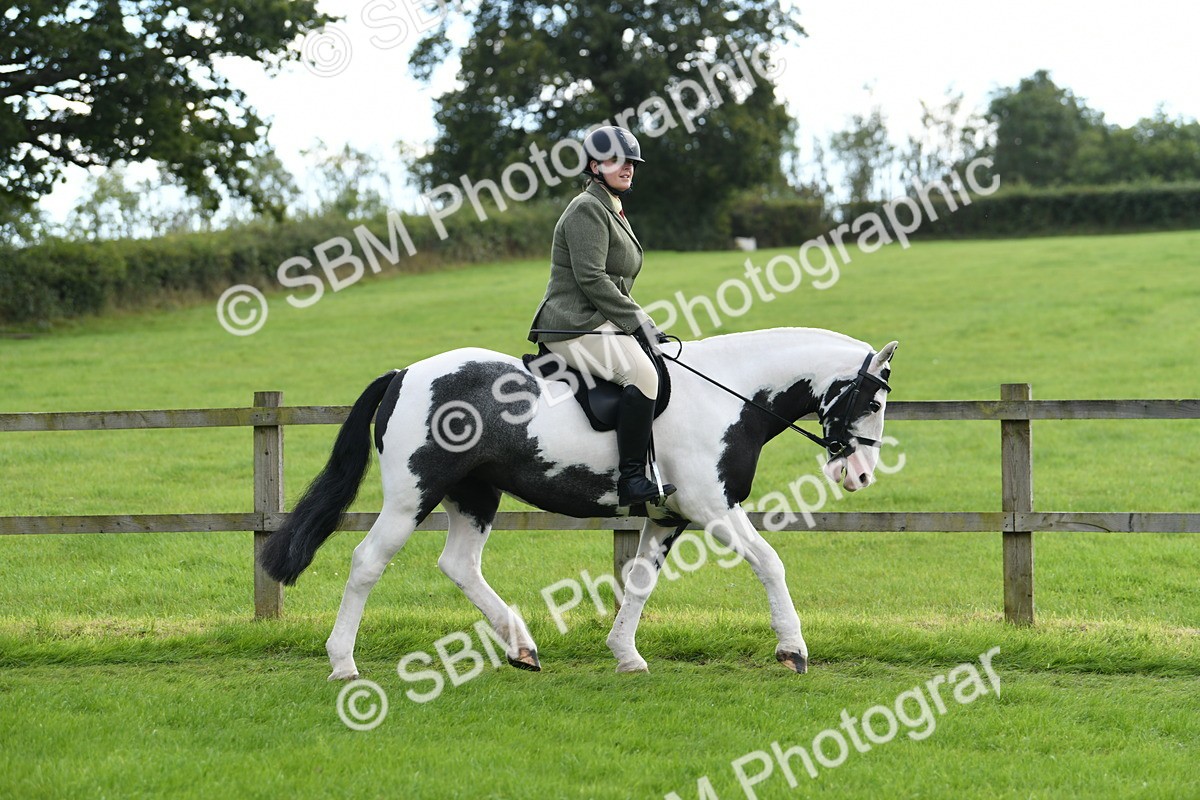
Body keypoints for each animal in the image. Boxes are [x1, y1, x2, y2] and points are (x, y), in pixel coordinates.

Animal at [259, 327, 898, 679]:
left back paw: (522, 647)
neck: (729, 395)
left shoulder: (670, 517)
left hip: (476, 493)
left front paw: (625, 655)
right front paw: (793, 650)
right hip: (411, 495)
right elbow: (770, 563)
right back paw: (343, 663)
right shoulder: (713, 507)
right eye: (871, 401)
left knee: (459, 565)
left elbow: (638, 581)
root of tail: (405, 374)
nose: (861, 473)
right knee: (368, 562)